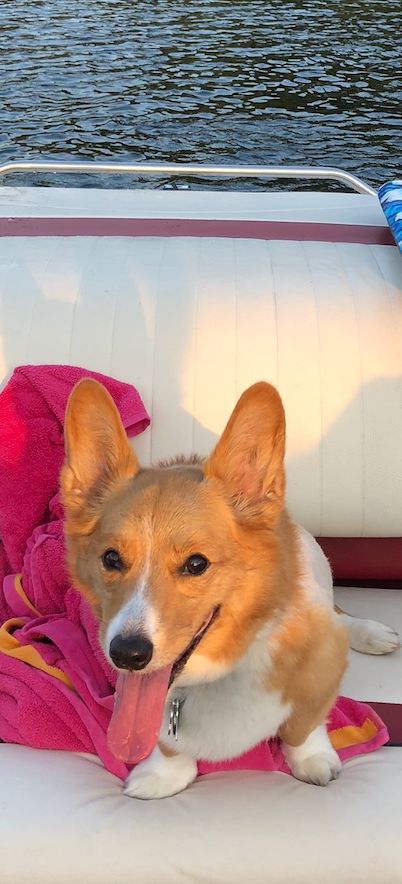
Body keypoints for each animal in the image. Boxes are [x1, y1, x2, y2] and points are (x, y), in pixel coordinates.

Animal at [60, 380, 398, 800]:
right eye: (111, 558)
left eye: (196, 564)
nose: (127, 654)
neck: (220, 671)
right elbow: (167, 744)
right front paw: (163, 775)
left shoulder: (323, 667)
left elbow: (303, 724)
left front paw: (312, 760)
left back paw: (371, 633)